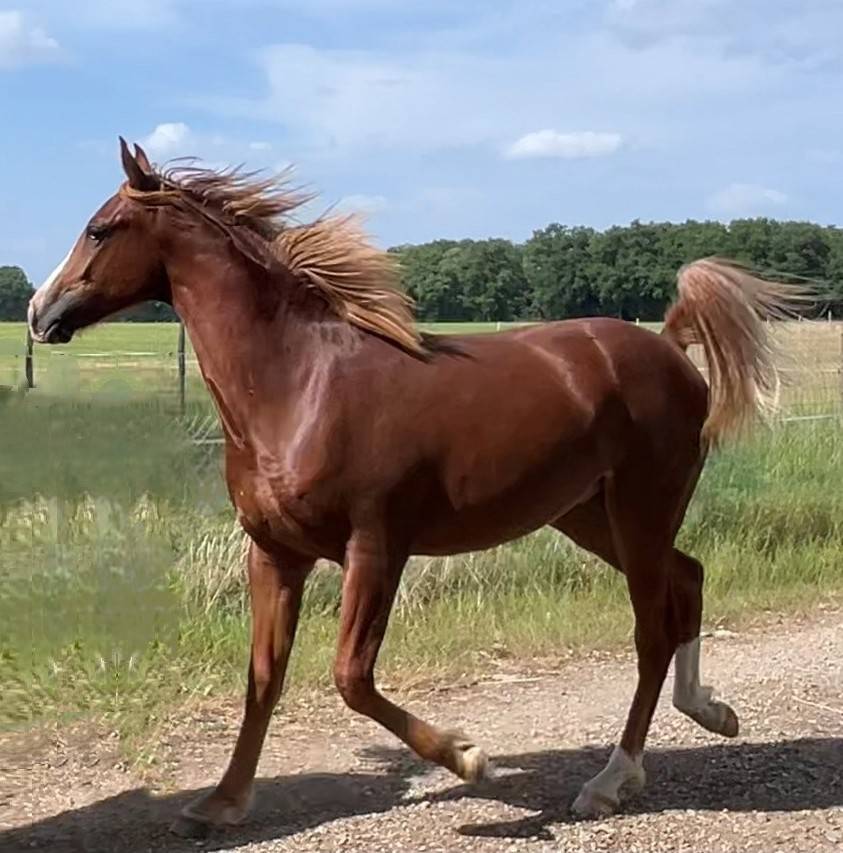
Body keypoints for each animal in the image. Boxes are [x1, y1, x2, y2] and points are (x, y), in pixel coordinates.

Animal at [29, 139, 799, 834]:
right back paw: (710, 712)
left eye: (99, 229)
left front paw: (470, 758)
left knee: (651, 627)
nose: (39, 312)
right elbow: (262, 677)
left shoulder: (376, 547)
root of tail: (669, 346)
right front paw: (220, 802)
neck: (299, 383)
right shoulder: (274, 554)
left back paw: (609, 780)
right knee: (688, 578)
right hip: (588, 514)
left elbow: (350, 675)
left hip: (641, 508)